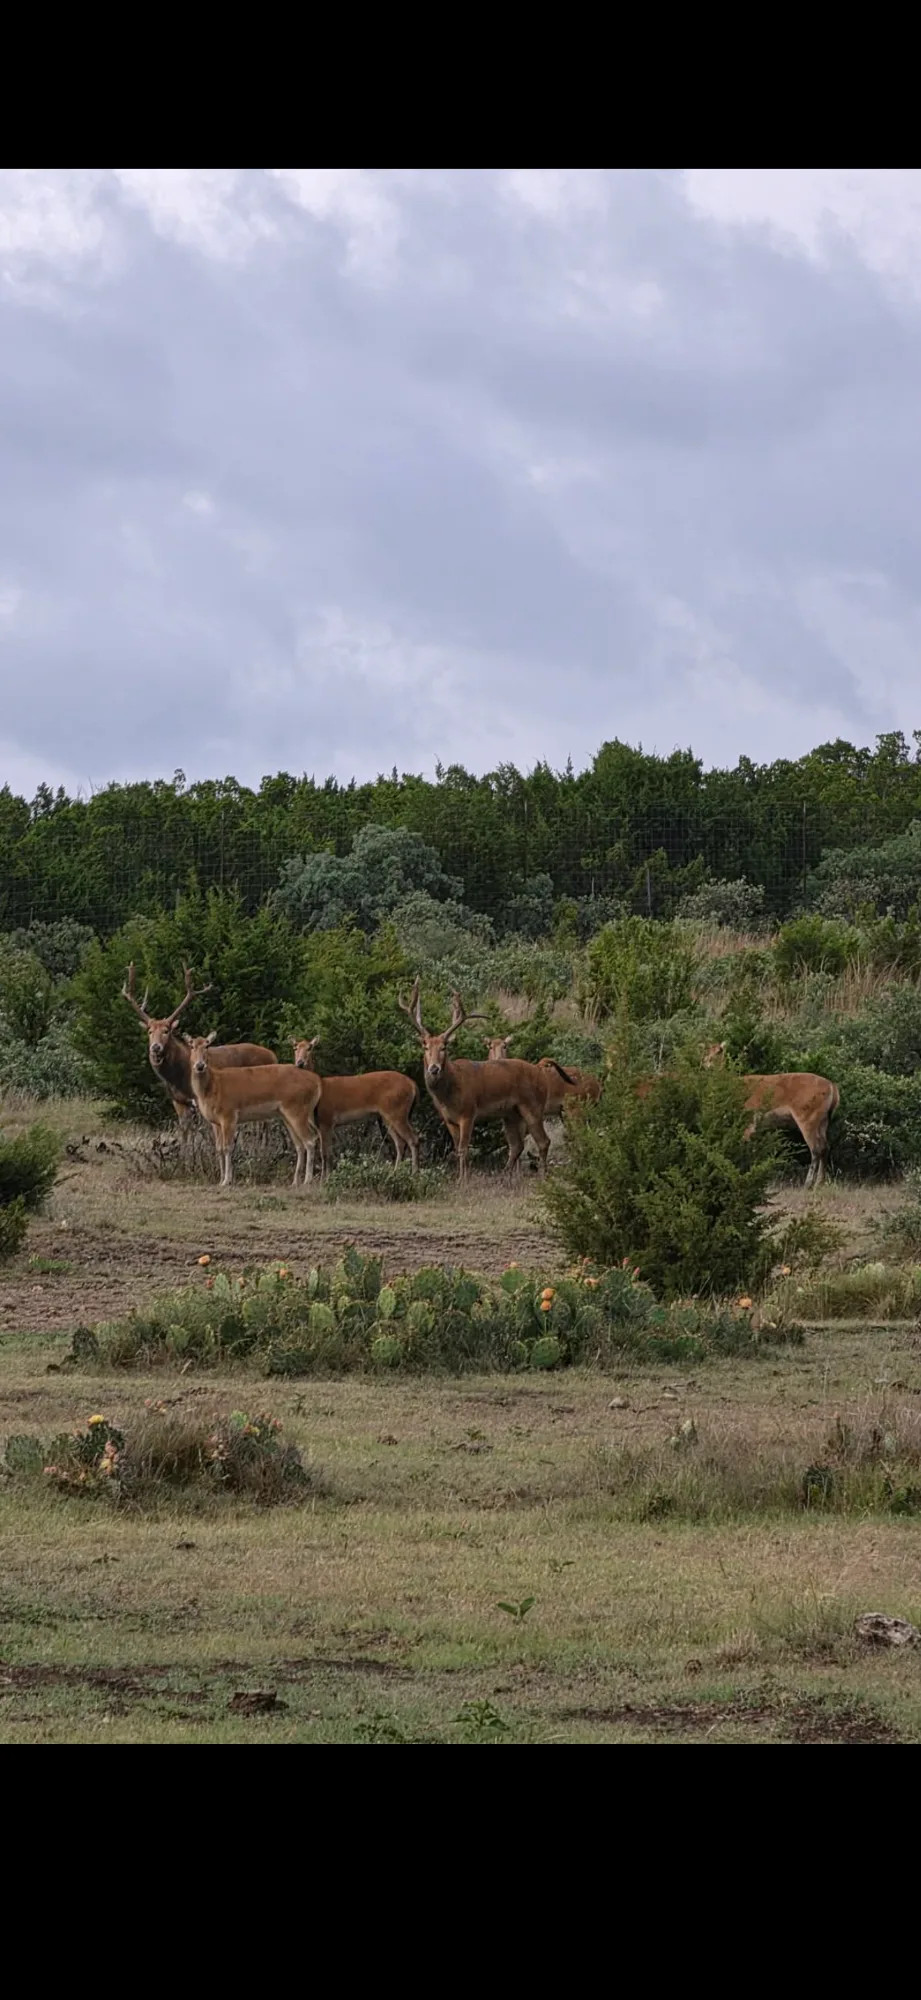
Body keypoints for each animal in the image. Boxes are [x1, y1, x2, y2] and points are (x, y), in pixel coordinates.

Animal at [121, 964, 277, 1133]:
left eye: (166, 1031)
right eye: (149, 1031)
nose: (155, 1047)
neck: (177, 1077)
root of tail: (273, 1055)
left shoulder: (201, 1098)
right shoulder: (178, 1101)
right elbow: (185, 1132)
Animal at [183, 1035, 322, 1188]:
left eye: (207, 1045)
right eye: (191, 1045)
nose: (200, 1065)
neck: (212, 1087)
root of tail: (317, 1082)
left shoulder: (229, 1114)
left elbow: (228, 1147)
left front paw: (227, 1180)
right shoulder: (215, 1122)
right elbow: (219, 1148)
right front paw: (220, 1180)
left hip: (297, 1108)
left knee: (310, 1140)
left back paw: (307, 1180)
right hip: (287, 1114)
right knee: (299, 1144)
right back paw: (295, 1181)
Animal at [291, 1037, 420, 1174]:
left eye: (310, 1047)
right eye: (295, 1047)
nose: (300, 1063)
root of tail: (412, 1084)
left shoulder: (326, 1119)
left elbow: (325, 1154)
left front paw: (326, 1178)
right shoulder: (321, 1125)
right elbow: (328, 1153)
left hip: (397, 1111)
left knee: (413, 1140)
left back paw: (414, 1172)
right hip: (388, 1116)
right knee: (400, 1143)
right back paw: (395, 1172)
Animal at [398, 979, 573, 1179]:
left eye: (444, 1046)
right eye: (425, 1046)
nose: (434, 1068)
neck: (449, 1093)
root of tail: (539, 1070)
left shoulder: (468, 1112)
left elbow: (463, 1149)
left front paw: (463, 1179)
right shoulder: (448, 1119)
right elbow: (457, 1148)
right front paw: (461, 1176)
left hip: (533, 1105)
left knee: (543, 1141)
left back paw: (542, 1176)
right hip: (511, 1113)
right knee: (517, 1145)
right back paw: (505, 1175)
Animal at [703, 1043, 840, 1189]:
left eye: (719, 1051)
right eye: (705, 1051)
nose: (708, 1063)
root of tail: (832, 1087)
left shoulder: (748, 1119)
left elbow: (744, 1146)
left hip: (807, 1116)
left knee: (816, 1149)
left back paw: (808, 1184)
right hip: (823, 1120)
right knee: (825, 1147)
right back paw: (820, 1183)